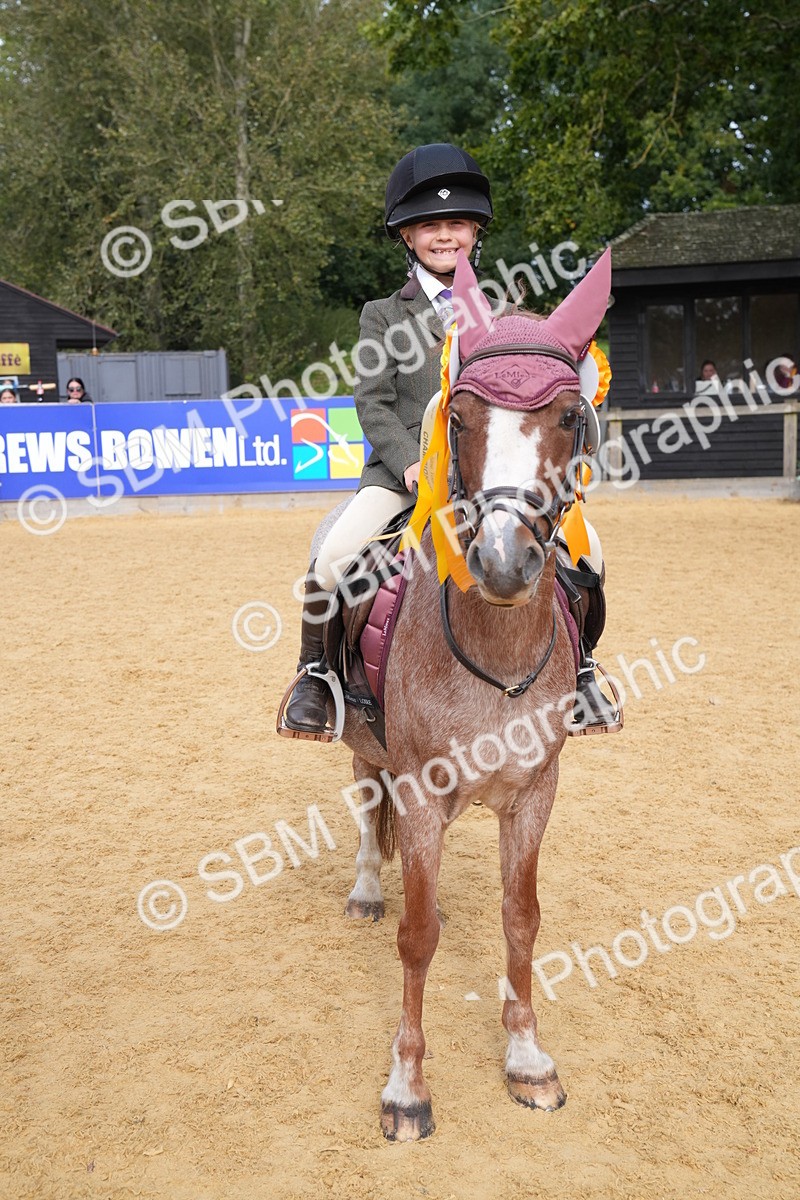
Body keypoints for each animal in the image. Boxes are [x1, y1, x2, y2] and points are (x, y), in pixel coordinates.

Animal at [336, 248, 613, 1141]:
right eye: (457, 418)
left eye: (568, 416)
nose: (501, 561)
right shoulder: (420, 787)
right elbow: (416, 936)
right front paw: (406, 1086)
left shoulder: (534, 791)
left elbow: (521, 919)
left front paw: (527, 1059)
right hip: (362, 742)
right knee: (365, 804)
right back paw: (365, 888)